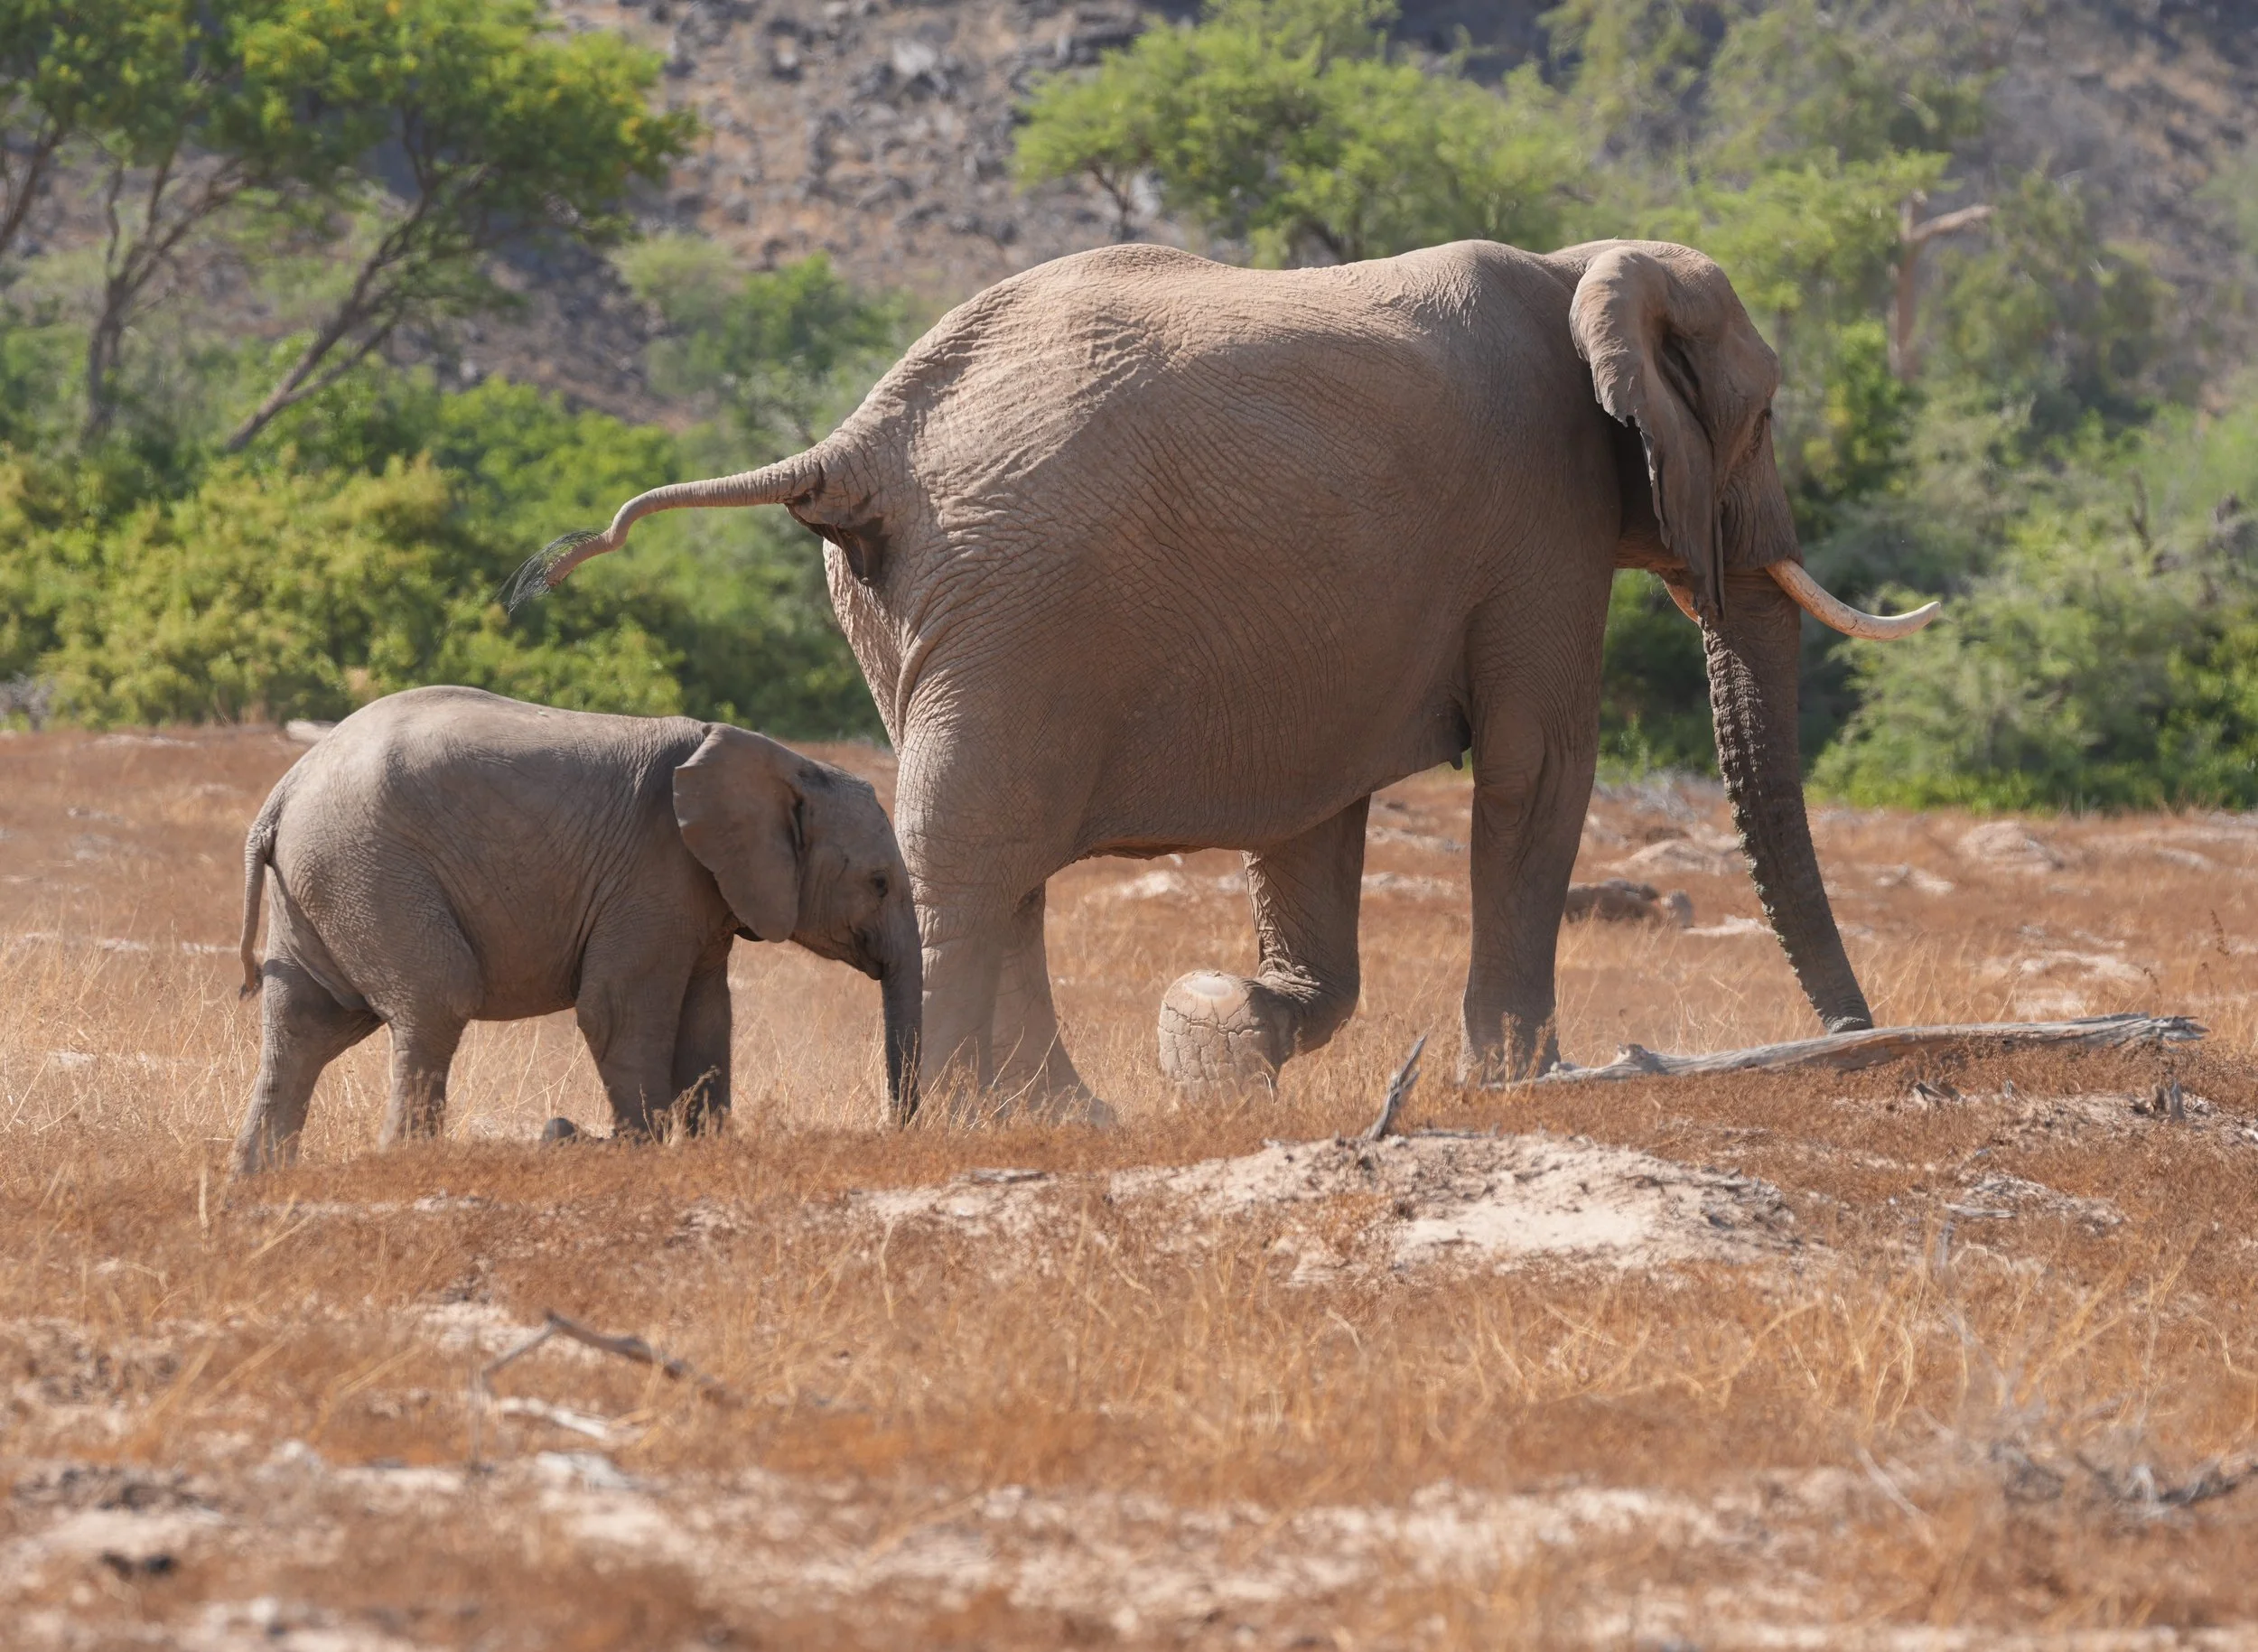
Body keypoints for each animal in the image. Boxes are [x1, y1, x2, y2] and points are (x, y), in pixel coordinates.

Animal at [231, 686, 919, 1172]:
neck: (783, 760)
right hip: (369, 869)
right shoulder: (654, 871)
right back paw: (406, 1164)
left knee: (304, 1024)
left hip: (323, 879)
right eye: (880, 882)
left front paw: (711, 1146)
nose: (903, 1127)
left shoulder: (704, 892)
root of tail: (283, 792)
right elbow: (615, 1008)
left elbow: (708, 1016)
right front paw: (641, 1147)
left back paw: (260, 1180)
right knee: (434, 1000)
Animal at [513, 238, 1936, 1116]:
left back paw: (1067, 1113)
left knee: (999, 848)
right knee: (979, 845)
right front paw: (1525, 1080)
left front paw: (1214, 1039)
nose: (1855, 1038)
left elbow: (1317, 811)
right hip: (1019, 599)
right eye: (1761, 417)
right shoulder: (1544, 517)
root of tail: (860, 438)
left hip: (918, 605)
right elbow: (1540, 765)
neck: (1579, 267)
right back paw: (991, 1116)